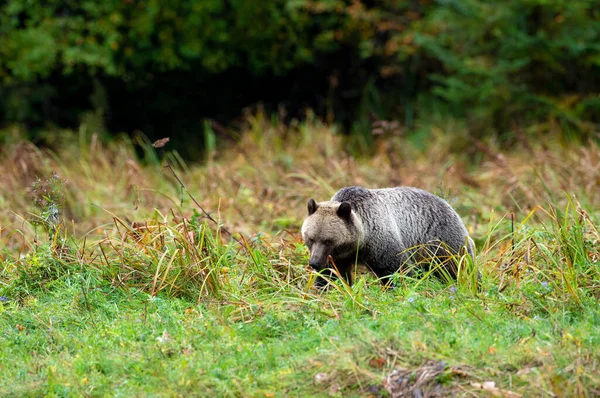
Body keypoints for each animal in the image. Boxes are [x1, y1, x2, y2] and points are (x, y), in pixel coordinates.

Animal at [302, 187, 476, 286]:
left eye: (328, 240)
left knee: (458, 267)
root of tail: (447, 203)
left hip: (440, 240)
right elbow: (332, 276)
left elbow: (397, 269)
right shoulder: (338, 258)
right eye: (310, 239)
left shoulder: (380, 241)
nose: (314, 263)